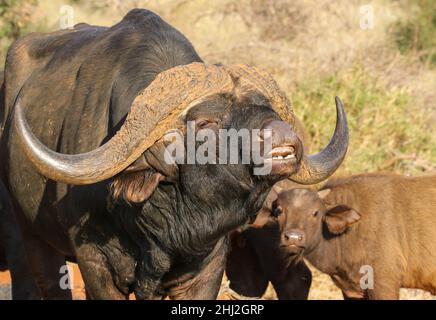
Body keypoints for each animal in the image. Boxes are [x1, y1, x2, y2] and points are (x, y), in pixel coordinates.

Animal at [0, 9, 348, 300]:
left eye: (269, 111)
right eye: (206, 122)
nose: (284, 138)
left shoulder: (208, 266)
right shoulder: (95, 265)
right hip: (31, 240)